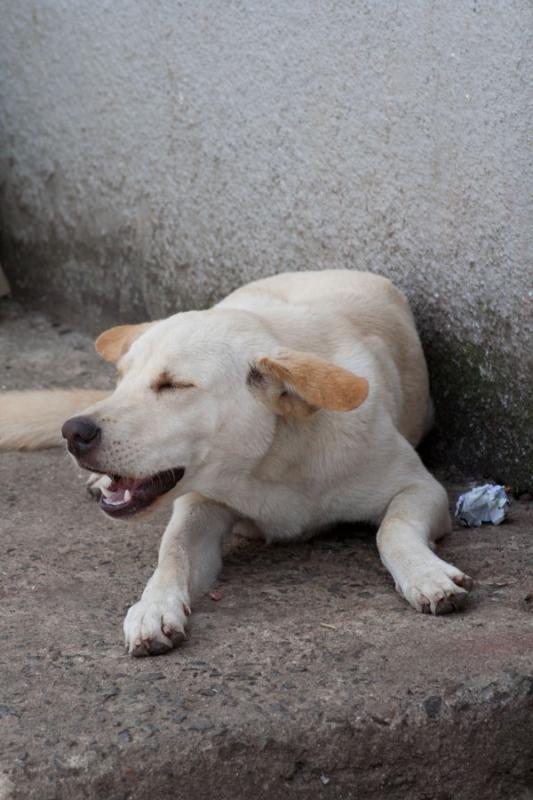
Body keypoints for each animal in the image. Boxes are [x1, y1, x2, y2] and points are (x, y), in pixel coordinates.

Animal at [0, 268, 472, 656]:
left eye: (173, 385)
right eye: (121, 379)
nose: (73, 432)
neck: (271, 460)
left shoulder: (421, 487)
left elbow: (392, 529)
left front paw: (425, 575)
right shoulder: (199, 505)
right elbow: (172, 550)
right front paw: (153, 606)